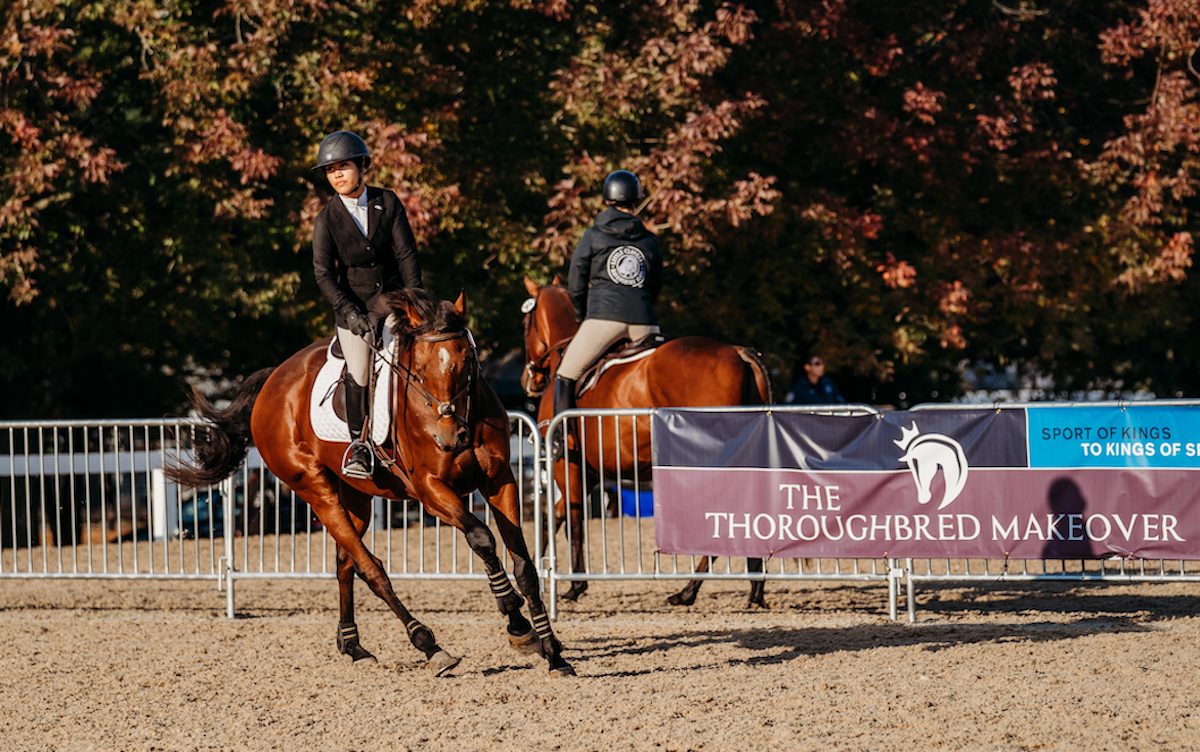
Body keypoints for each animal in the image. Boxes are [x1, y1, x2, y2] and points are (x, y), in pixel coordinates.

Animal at [166, 287, 573, 676]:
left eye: (468, 362)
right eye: (418, 371)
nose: (451, 438)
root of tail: (275, 379)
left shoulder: (500, 481)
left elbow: (525, 566)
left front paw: (551, 651)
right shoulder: (431, 490)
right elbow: (482, 538)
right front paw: (518, 625)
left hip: (355, 497)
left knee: (345, 562)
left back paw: (353, 646)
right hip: (316, 489)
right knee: (370, 568)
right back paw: (429, 646)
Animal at [520, 274, 772, 606]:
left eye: (525, 322)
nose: (529, 380)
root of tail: (736, 351)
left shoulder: (568, 466)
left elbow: (571, 522)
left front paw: (574, 585)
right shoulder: (589, 472)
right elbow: (557, 517)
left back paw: (688, 590)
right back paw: (753, 589)